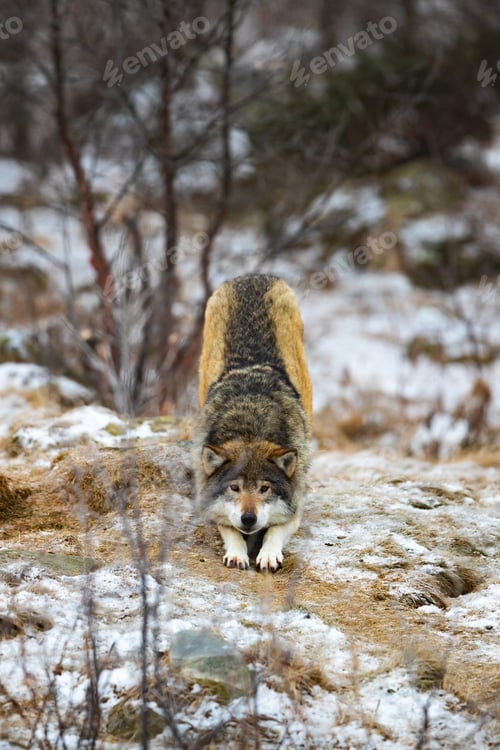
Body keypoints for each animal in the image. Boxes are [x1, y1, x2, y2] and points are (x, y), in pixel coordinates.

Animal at [192, 274, 312, 572]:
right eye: (234, 488)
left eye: (264, 488)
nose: (249, 518)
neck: (251, 428)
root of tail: (252, 276)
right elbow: (230, 530)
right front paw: (237, 553)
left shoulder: (294, 504)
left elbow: (274, 530)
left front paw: (268, 554)